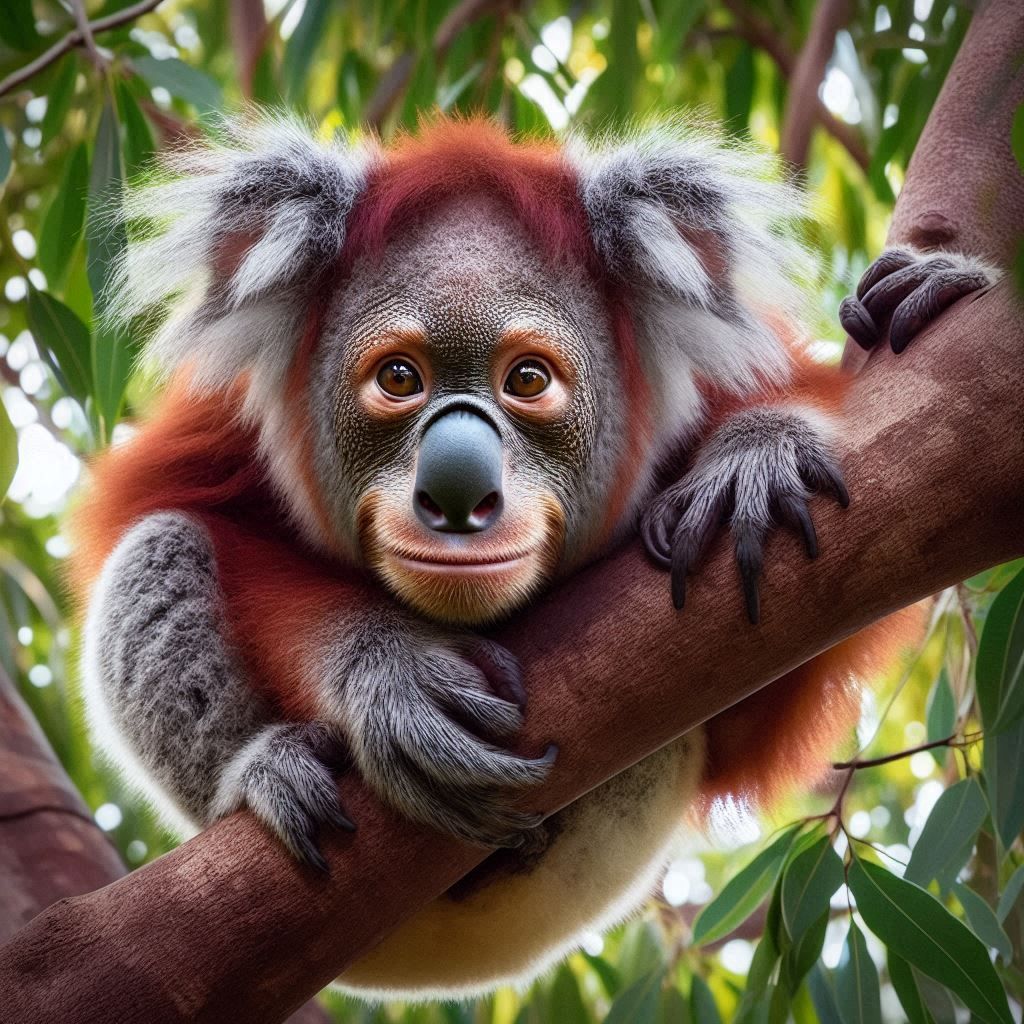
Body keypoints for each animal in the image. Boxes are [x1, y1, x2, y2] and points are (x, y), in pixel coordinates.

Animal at [68, 114, 995, 1000]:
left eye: (529, 380)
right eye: (397, 378)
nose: (456, 497)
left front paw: (762, 453)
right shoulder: (214, 429)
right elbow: (180, 523)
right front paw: (396, 679)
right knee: (158, 552)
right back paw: (275, 774)